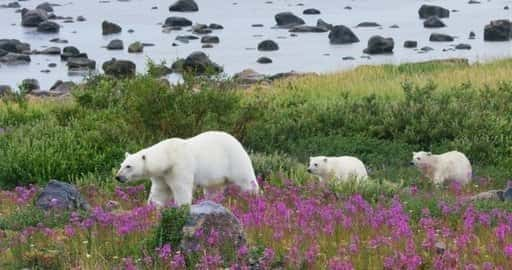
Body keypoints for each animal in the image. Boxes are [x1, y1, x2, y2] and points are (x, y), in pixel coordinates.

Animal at [115, 130, 260, 205]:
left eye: (129, 166)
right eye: (121, 164)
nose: (118, 177)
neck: (168, 155)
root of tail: (237, 141)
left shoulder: (179, 167)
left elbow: (181, 189)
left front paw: (182, 207)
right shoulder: (161, 175)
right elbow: (159, 192)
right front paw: (153, 207)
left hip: (235, 160)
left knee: (246, 181)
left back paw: (253, 197)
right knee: (213, 190)